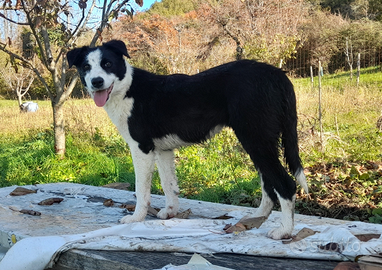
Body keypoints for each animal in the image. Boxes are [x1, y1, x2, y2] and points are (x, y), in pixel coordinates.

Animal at [67, 39, 308, 238]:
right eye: (86, 67)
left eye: (108, 64)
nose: (96, 82)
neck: (126, 88)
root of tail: (278, 74)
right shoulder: (162, 150)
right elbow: (169, 185)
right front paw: (170, 212)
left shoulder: (141, 148)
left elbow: (141, 190)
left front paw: (136, 219)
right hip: (259, 142)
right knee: (269, 184)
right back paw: (255, 218)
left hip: (255, 139)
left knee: (285, 184)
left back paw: (285, 231)